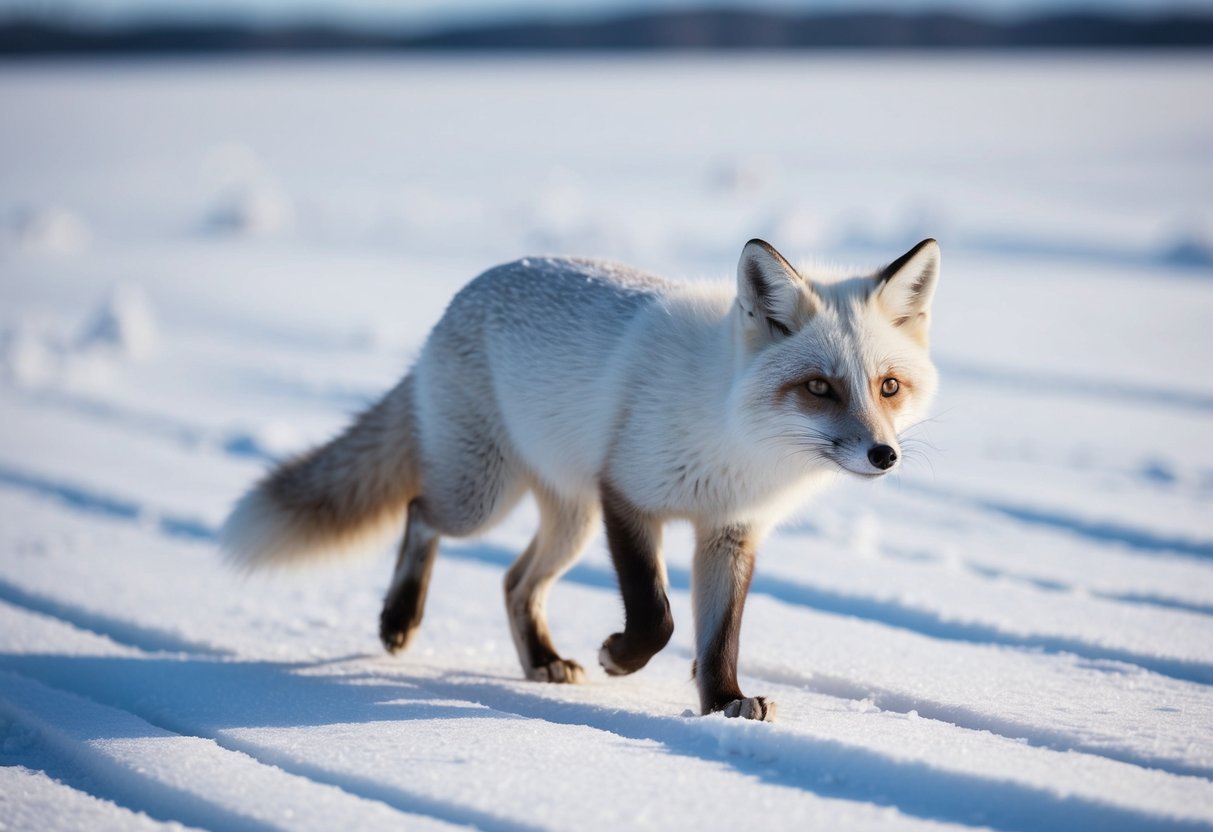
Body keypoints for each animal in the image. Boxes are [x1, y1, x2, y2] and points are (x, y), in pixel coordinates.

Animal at [221, 238, 940, 721]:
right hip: (483, 497)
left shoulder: (729, 532)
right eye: (818, 387)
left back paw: (540, 660)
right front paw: (621, 657)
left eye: (888, 387)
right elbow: (658, 617)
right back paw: (400, 618)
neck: (735, 435)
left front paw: (723, 704)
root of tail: (468, 291)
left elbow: (718, 638)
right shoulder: (626, 495)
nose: (882, 454)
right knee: (421, 513)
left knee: (514, 583)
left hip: (570, 521)